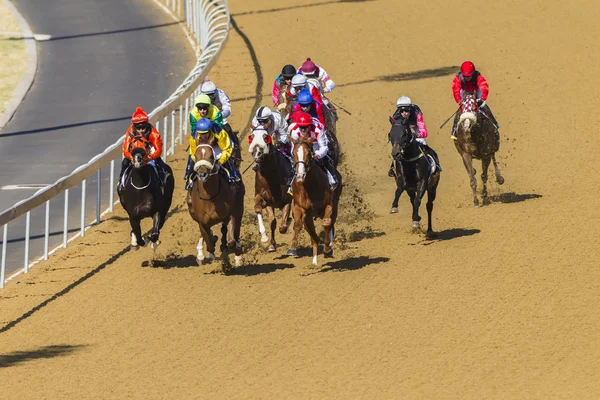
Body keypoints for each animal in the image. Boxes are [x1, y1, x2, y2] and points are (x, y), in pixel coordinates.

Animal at [186, 132, 245, 268]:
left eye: (211, 156)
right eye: (196, 156)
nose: (202, 174)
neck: (210, 197)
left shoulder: (230, 215)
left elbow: (231, 241)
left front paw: (237, 254)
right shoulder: (201, 221)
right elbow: (209, 241)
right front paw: (204, 255)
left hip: (239, 208)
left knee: (235, 232)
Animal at [288, 136, 342, 264]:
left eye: (308, 153)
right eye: (293, 153)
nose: (300, 175)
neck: (309, 186)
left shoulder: (328, 204)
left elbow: (327, 223)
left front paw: (327, 249)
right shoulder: (301, 208)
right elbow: (300, 225)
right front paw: (293, 248)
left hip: (335, 203)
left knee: (331, 223)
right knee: (306, 226)